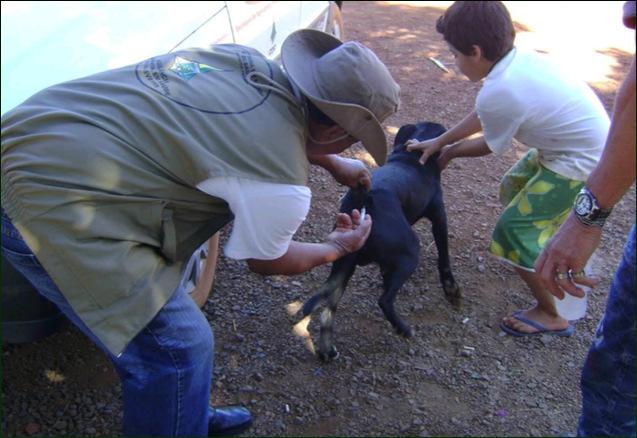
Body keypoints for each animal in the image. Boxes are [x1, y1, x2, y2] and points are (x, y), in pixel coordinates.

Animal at [300, 121, 460, 362]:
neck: (411, 155)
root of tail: (365, 199)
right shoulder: (439, 217)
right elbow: (444, 257)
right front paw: (452, 291)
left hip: (344, 262)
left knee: (330, 304)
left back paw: (327, 350)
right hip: (411, 252)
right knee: (384, 300)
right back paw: (404, 329)